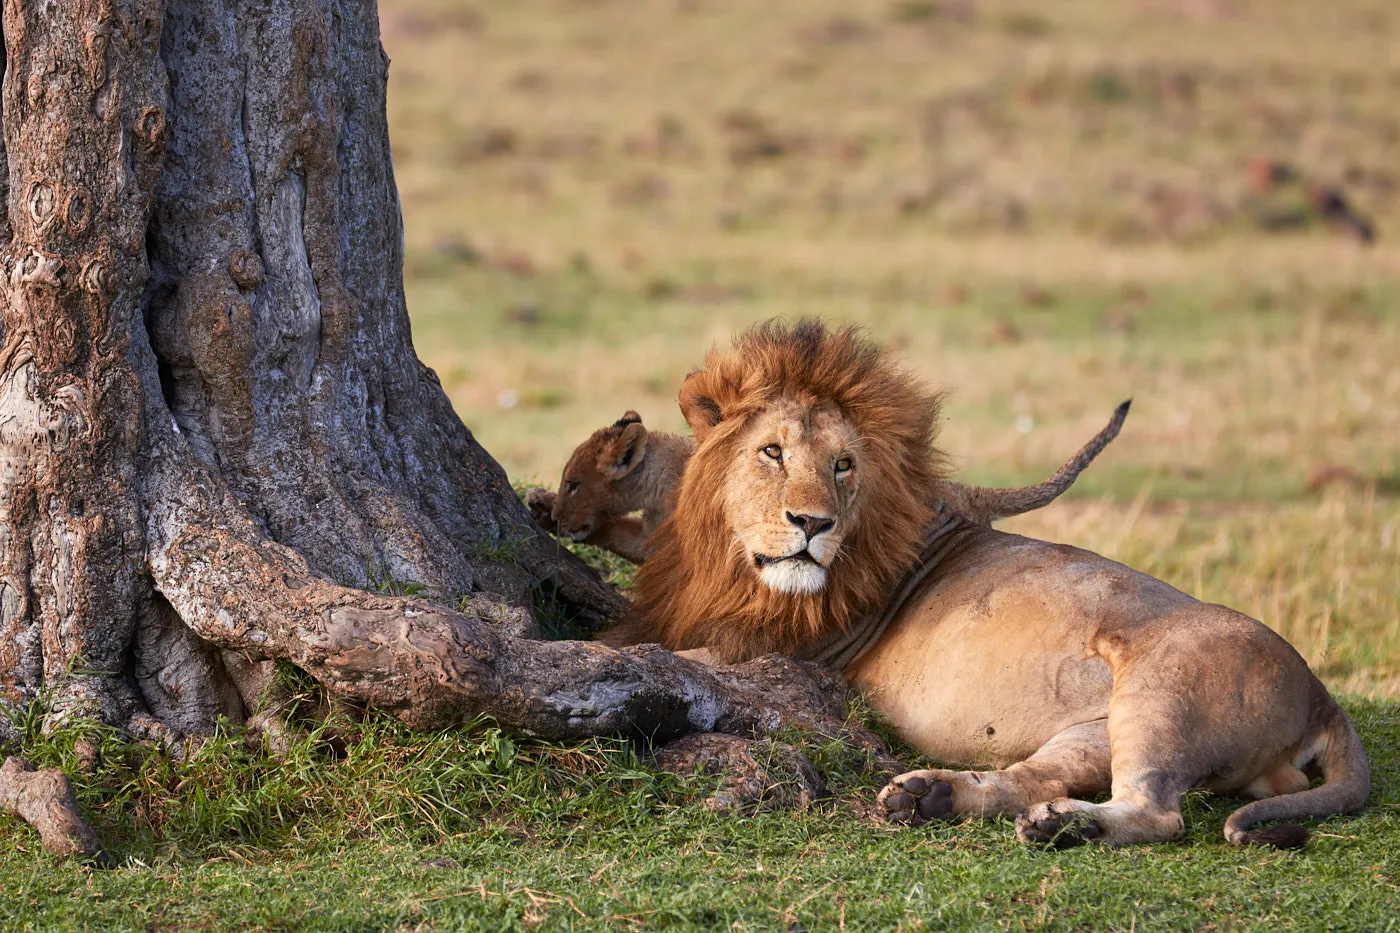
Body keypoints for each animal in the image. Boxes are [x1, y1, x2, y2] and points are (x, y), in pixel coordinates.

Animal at [531, 401, 1132, 564]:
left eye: (575, 482)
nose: (559, 515)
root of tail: (967, 491)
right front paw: (537, 504)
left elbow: (620, 536)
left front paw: (570, 523)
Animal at [606, 319, 1368, 848]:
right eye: (772, 452)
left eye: (843, 464)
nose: (813, 523)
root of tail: (1321, 694)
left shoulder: (775, 651)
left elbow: (660, 658)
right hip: (1093, 731)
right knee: (1034, 777)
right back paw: (938, 800)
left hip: (1161, 693)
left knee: (1160, 815)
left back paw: (1066, 828)